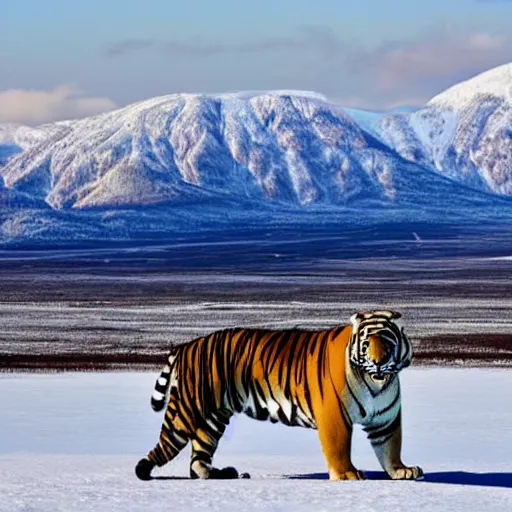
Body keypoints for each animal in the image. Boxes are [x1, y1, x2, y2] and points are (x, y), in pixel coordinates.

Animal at [134, 310, 422, 482]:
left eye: (388, 342)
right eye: (366, 343)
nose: (378, 362)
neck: (376, 384)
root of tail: (187, 345)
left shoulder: (386, 420)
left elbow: (390, 447)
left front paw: (401, 470)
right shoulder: (335, 417)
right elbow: (339, 448)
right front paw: (347, 474)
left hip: (213, 418)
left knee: (199, 457)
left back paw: (219, 473)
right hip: (186, 410)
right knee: (166, 443)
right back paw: (143, 471)